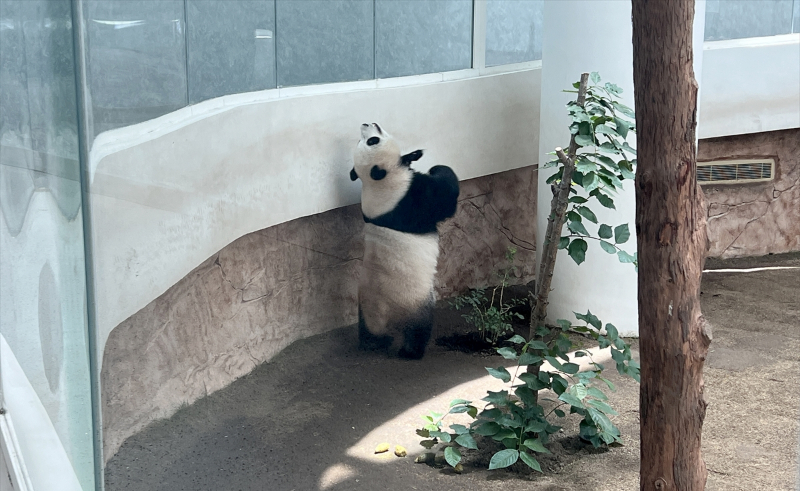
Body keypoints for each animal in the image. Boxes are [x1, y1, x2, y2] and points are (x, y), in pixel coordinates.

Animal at [349, 123, 460, 359]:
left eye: (365, 140)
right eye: (373, 141)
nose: (366, 123)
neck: (377, 182)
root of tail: (383, 320)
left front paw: (412, 156)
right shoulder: (409, 199)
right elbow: (444, 198)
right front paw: (435, 168)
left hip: (365, 310)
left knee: (367, 331)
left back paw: (372, 343)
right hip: (412, 301)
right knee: (418, 329)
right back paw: (411, 351)